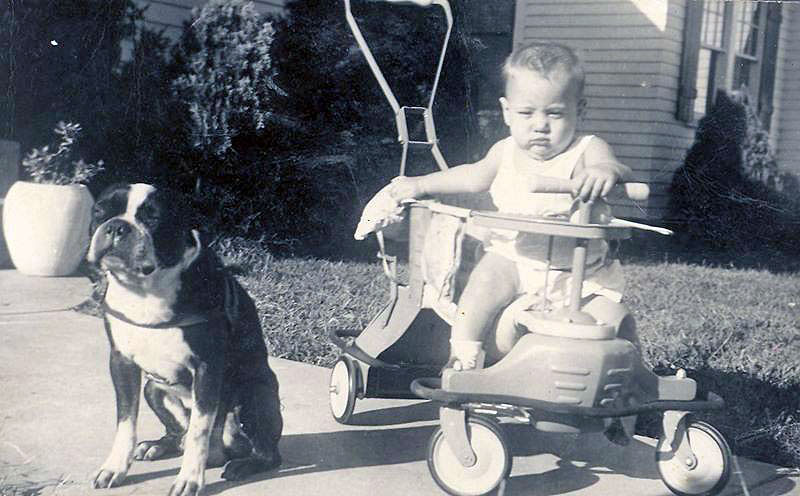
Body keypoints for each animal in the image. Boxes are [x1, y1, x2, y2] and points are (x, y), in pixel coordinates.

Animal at [86, 183, 282, 496]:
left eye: (153, 218)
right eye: (99, 211)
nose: (116, 226)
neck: (145, 290)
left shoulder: (207, 367)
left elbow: (200, 431)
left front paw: (189, 479)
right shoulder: (121, 363)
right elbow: (126, 421)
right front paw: (115, 467)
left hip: (254, 394)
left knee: (264, 452)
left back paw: (244, 464)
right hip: (153, 390)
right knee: (180, 433)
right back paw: (159, 446)